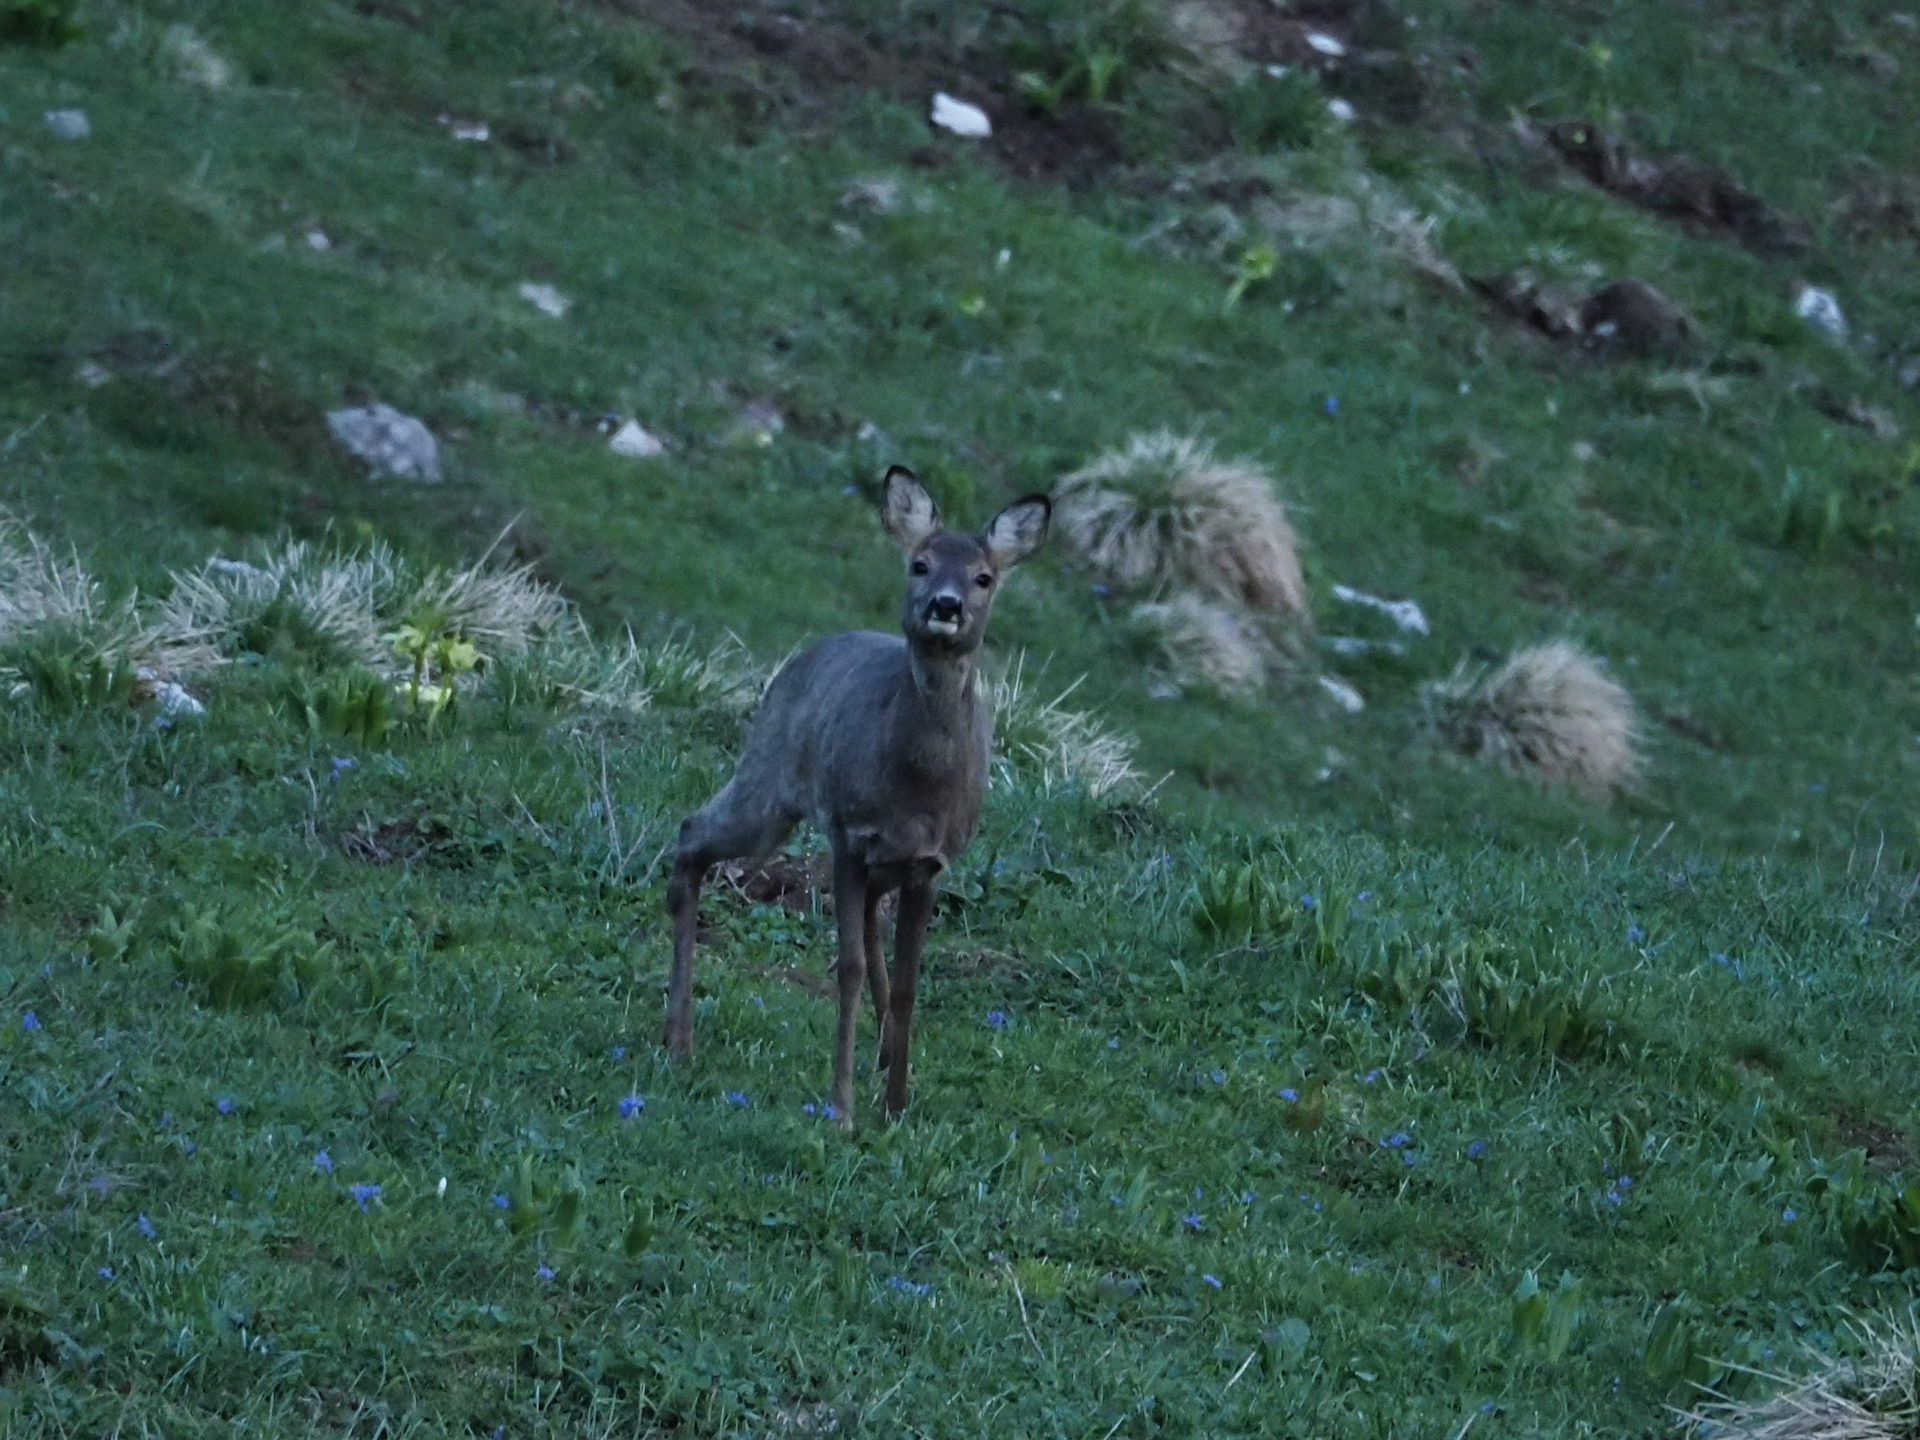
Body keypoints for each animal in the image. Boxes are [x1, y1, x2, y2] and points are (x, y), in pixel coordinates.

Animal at [663, 467, 1050, 1126]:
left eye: (983, 577)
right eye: (920, 564)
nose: (945, 606)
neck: (916, 783)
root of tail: (801, 659)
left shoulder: (930, 862)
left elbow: (909, 980)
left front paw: (895, 1105)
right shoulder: (847, 832)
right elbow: (846, 968)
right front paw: (840, 1107)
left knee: (870, 926)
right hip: (770, 782)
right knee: (692, 832)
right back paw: (678, 1039)